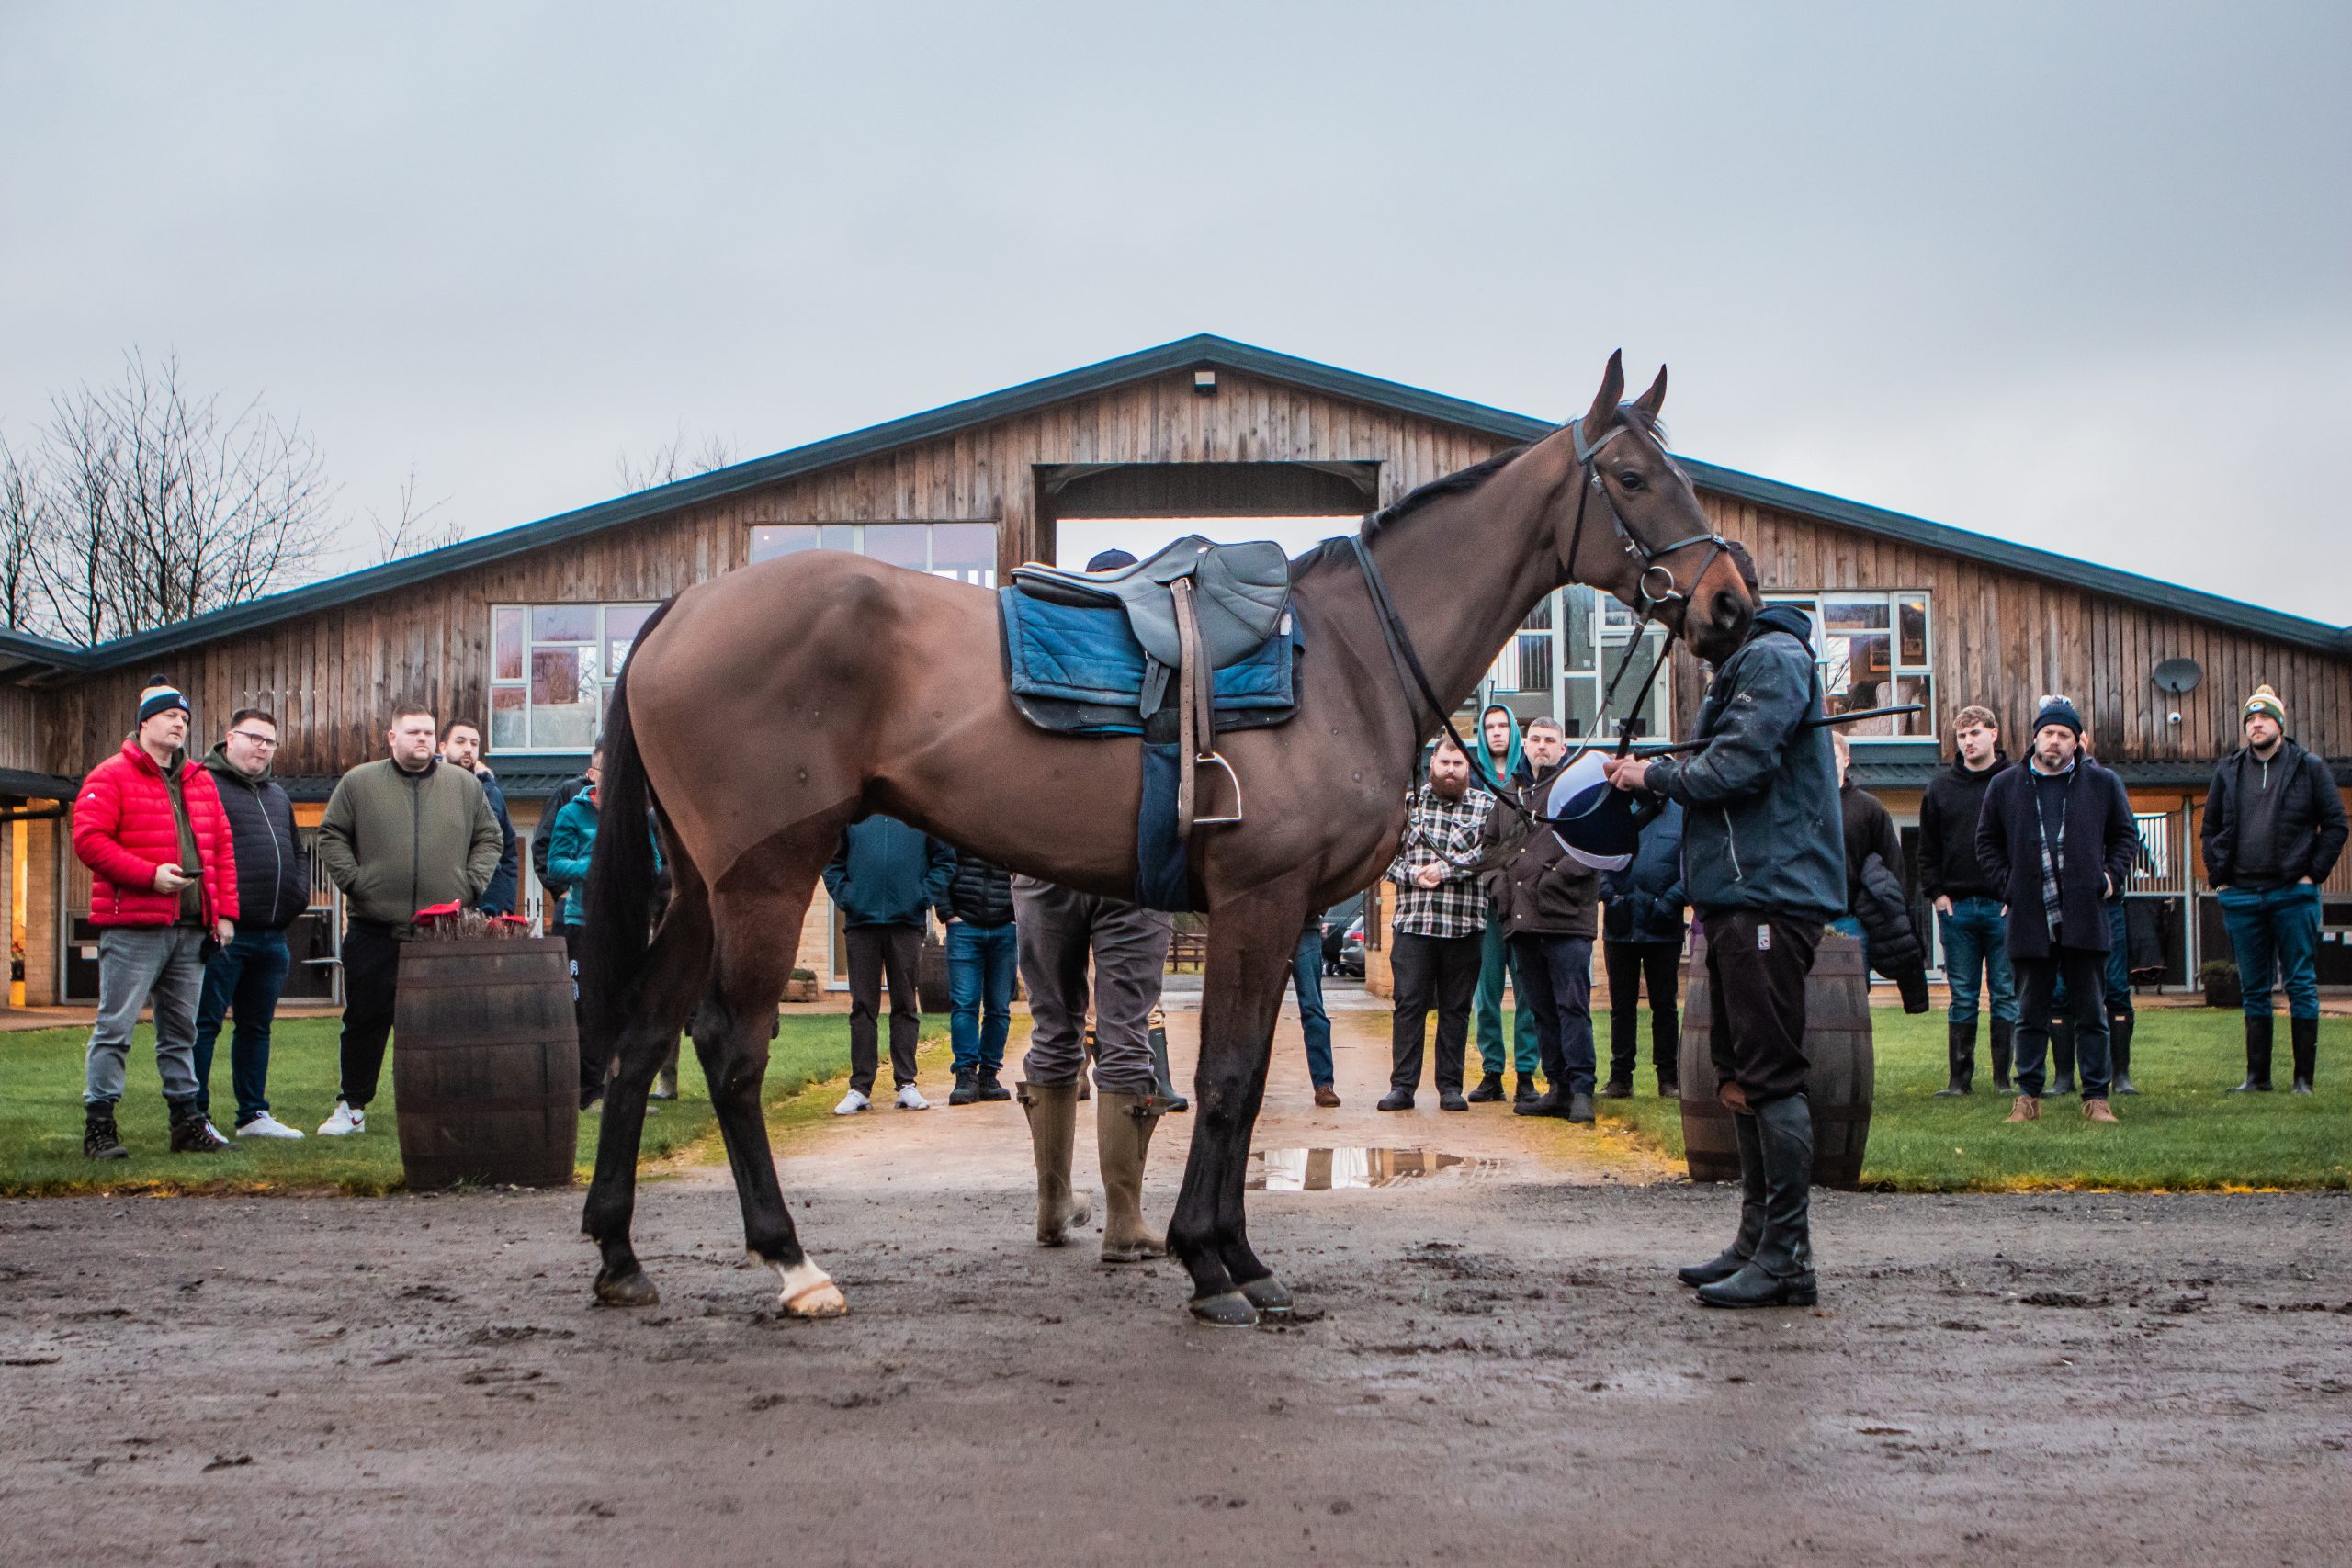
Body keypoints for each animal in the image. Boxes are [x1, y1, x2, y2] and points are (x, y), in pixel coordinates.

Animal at [575, 351, 1756, 1326]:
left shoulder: (1275, 918)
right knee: (728, 1049)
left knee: (640, 1036)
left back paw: (620, 1256)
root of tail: (683, 608)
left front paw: (1237, 1259)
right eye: (1635, 478)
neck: (1348, 653)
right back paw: (792, 1265)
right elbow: (1228, 1078)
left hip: (701, 886)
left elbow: (1247, 1076)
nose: (1731, 605)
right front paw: (1213, 1264)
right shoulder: (1259, 899)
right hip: (763, 880)